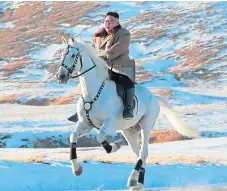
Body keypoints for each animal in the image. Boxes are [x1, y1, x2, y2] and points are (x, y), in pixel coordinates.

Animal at [56, 35, 199, 190]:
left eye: (73, 55)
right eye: (62, 55)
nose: (61, 76)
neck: (93, 93)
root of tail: (154, 97)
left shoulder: (109, 123)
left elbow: (100, 136)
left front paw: (114, 147)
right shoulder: (85, 124)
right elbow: (73, 136)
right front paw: (77, 169)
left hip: (146, 126)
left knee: (143, 152)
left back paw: (133, 181)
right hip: (129, 132)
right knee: (141, 154)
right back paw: (137, 183)